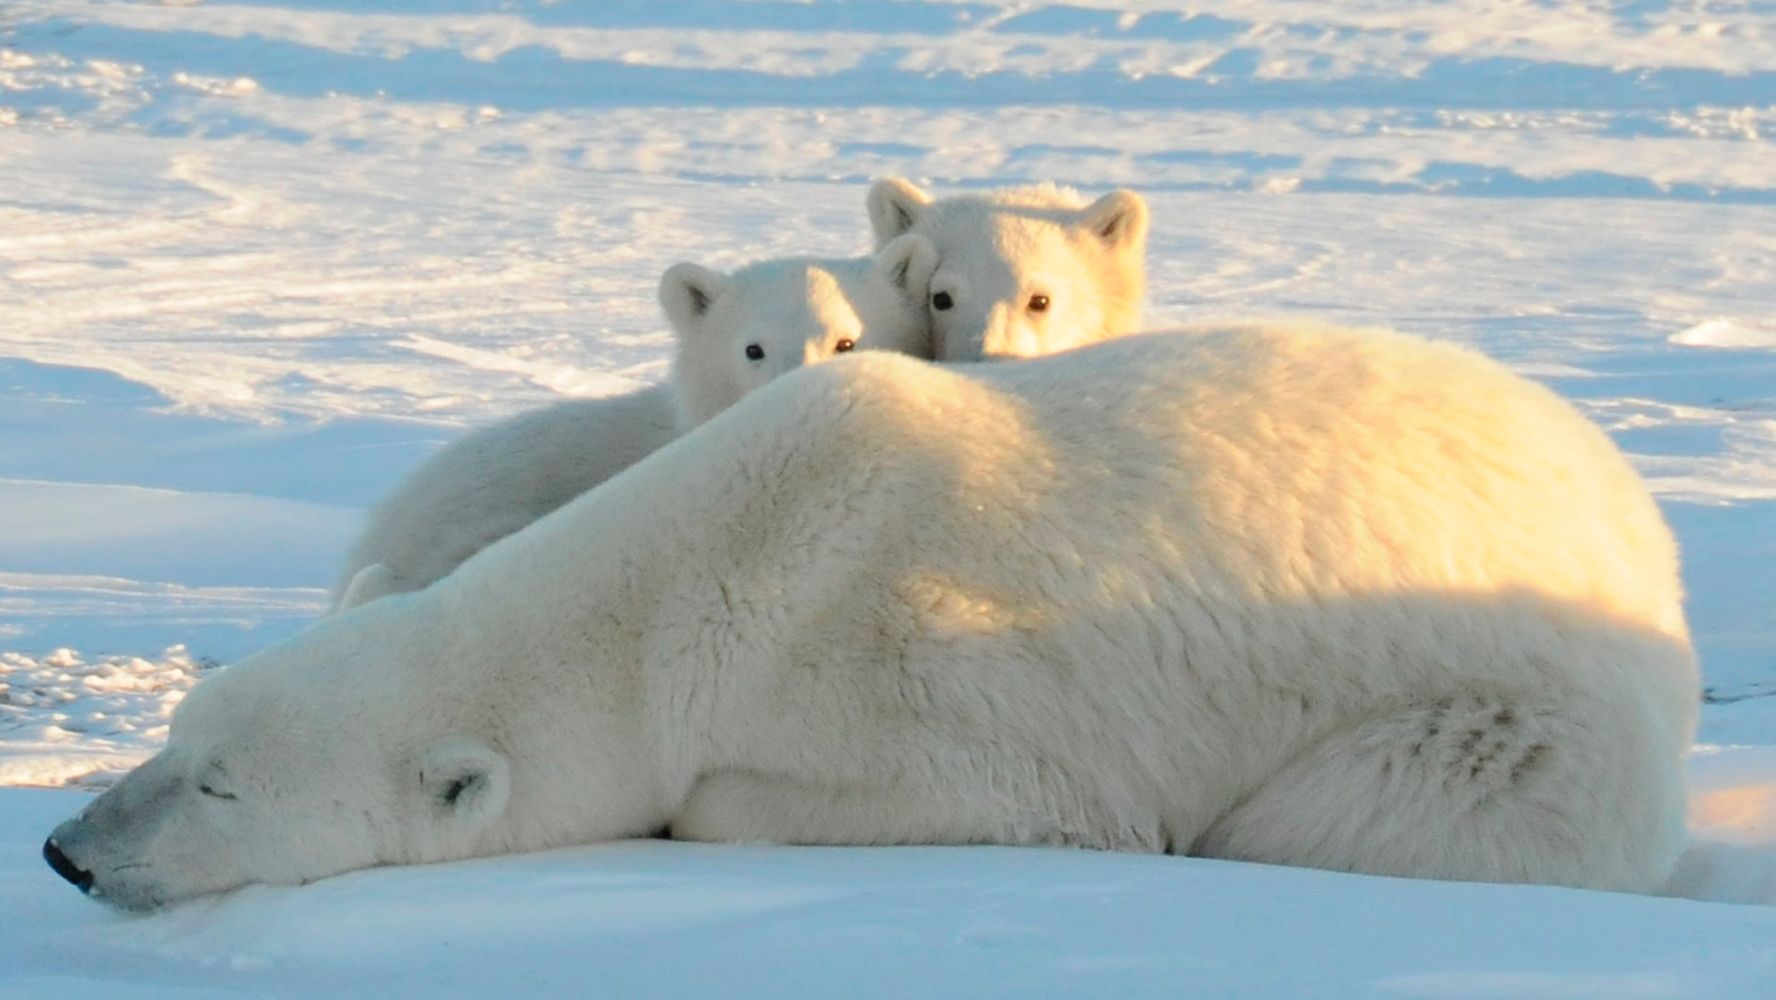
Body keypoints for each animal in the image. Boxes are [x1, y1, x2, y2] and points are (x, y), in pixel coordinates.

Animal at [48, 326, 1697, 909]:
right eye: (178, 736)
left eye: (219, 788)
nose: (67, 851)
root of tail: (1645, 528)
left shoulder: (926, 673)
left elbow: (1020, 801)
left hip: (1515, 718)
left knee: (1387, 802)